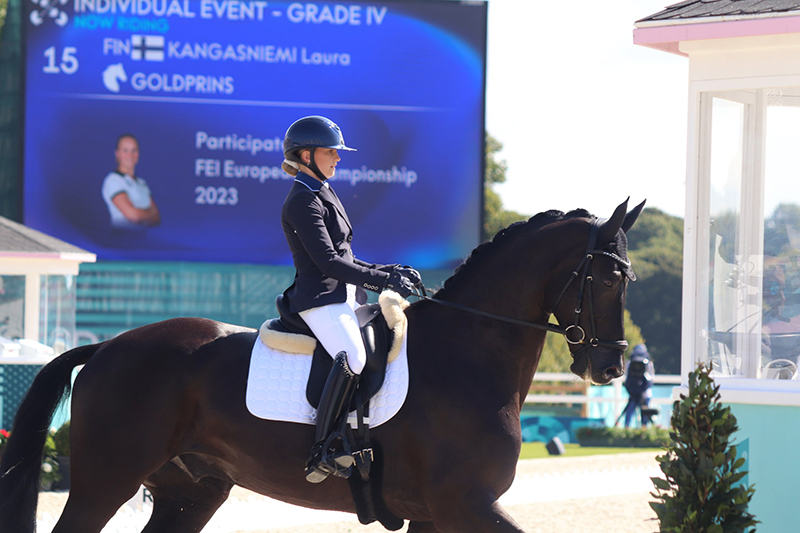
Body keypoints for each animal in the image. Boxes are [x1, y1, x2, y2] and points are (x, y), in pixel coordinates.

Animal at [0, 197, 644, 528]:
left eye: (628, 278)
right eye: (610, 277)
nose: (611, 369)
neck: (468, 355)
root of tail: (106, 348)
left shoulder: (435, 514)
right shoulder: (466, 504)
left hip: (190, 494)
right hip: (103, 483)